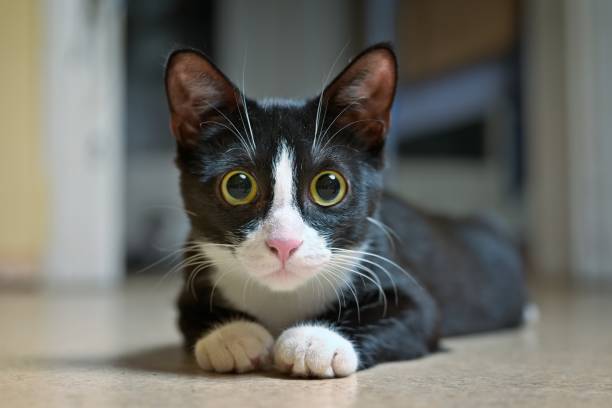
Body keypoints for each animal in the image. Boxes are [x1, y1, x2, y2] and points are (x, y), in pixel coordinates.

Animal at [163, 43, 524, 378]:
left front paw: (316, 340)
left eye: (328, 187)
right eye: (238, 185)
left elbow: (416, 312)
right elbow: (188, 313)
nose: (284, 243)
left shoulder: (399, 277)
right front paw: (233, 335)